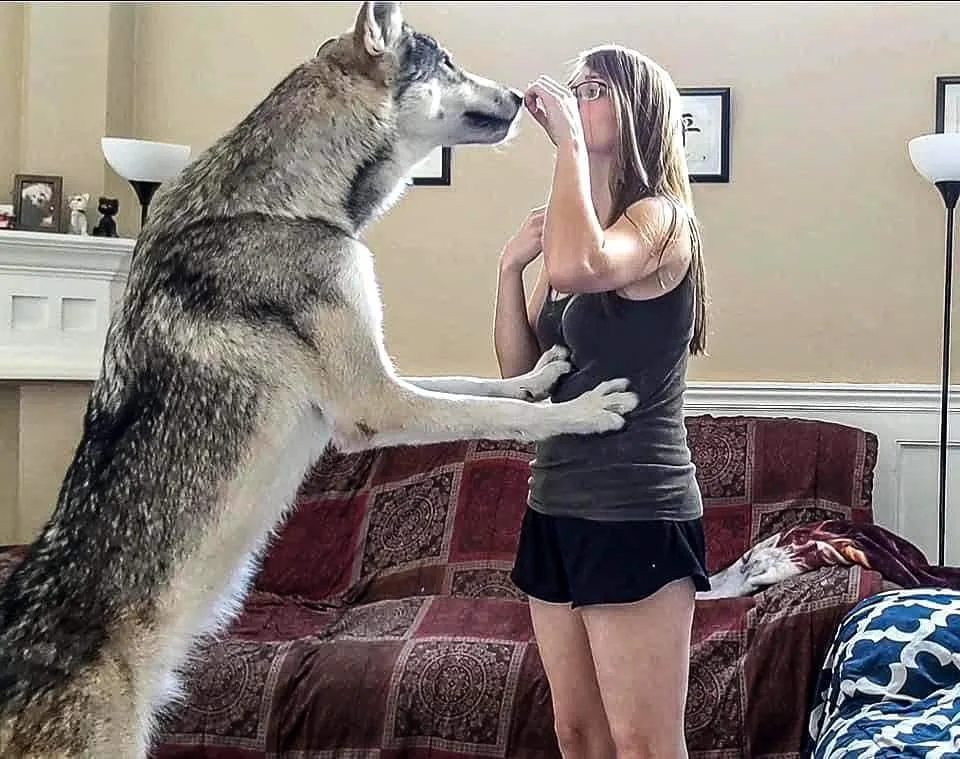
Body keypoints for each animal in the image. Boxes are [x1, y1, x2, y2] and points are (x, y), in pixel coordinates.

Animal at [0, 2, 640, 756]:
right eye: (447, 62)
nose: (518, 95)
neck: (293, 203)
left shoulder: (382, 373)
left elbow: (480, 385)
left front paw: (541, 372)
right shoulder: (375, 402)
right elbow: (496, 414)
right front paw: (587, 410)